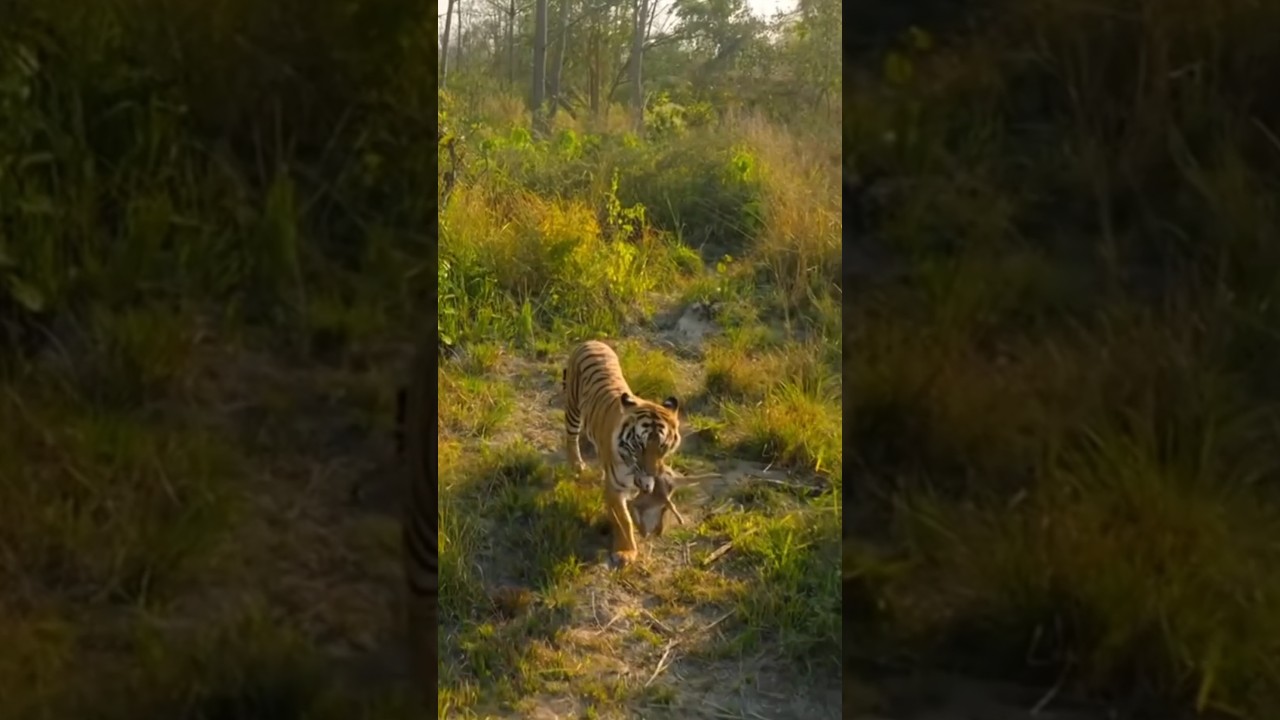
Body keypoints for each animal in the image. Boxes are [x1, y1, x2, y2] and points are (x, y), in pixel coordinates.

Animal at [563, 340, 682, 567]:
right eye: (640, 445)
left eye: (663, 446)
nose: (653, 474)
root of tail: (591, 341)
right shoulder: (615, 488)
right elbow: (623, 520)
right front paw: (626, 552)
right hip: (573, 408)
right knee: (571, 437)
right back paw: (576, 465)